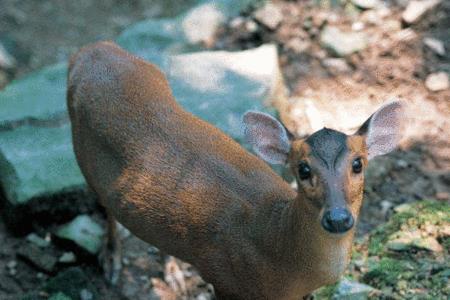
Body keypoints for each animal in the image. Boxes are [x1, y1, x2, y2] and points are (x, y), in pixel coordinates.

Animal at [67, 41, 404, 300]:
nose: (337, 218)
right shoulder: (224, 277)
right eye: (303, 169)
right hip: (83, 154)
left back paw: (173, 273)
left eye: (358, 163)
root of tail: (90, 50)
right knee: (105, 206)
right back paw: (112, 259)